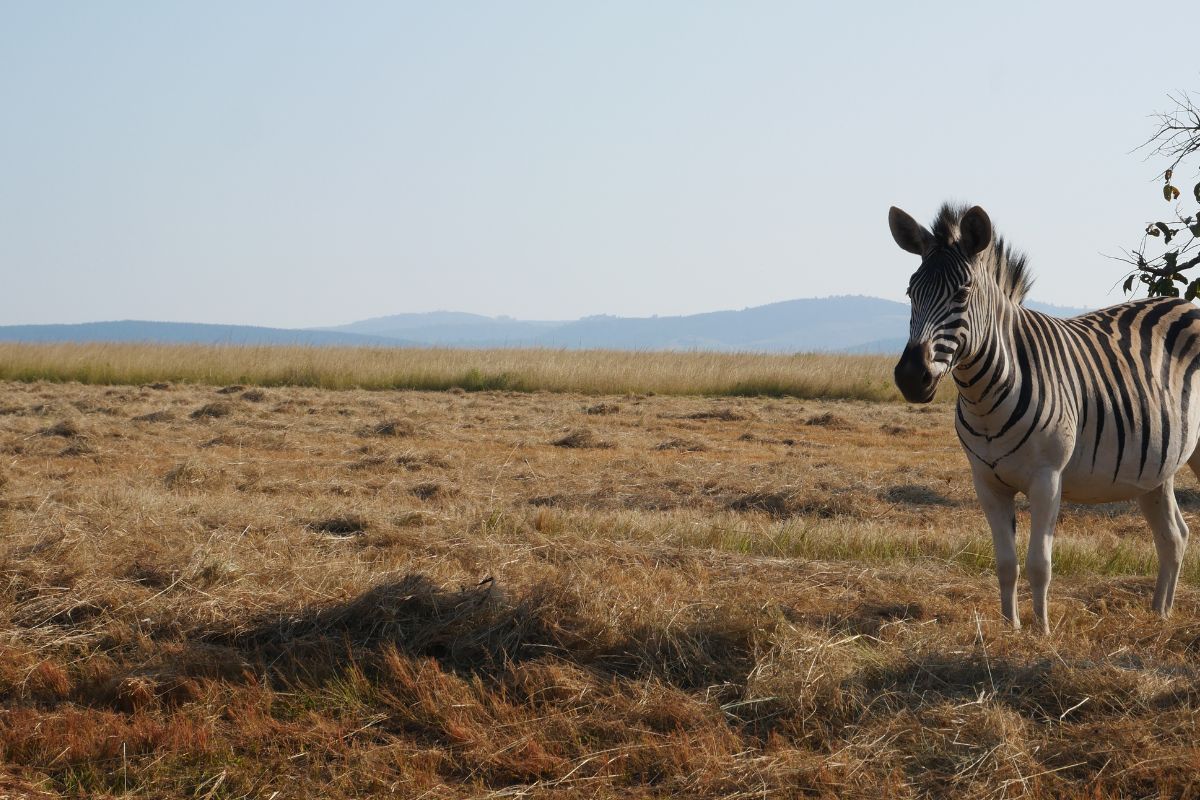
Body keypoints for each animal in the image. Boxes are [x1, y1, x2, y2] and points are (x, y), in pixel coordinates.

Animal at [888, 203, 1200, 633]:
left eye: (962, 293)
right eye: (910, 292)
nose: (910, 376)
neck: (985, 396)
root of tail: (1183, 302)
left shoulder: (1047, 478)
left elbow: (1040, 564)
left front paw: (1043, 632)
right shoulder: (986, 482)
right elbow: (1006, 564)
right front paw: (1011, 628)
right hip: (1156, 469)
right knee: (1174, 537)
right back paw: (1160, 614)